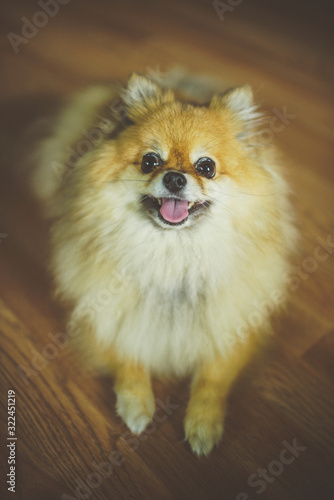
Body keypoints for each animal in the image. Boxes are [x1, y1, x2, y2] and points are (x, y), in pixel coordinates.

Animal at [31, 71, 296, 458]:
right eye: (149, 161)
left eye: (206, 167)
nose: (173, 178)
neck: (173, 257)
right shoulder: (106, 317)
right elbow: (128, 357)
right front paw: (136, 404)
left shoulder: (233, 325)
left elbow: (213, 376)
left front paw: (203, 424)